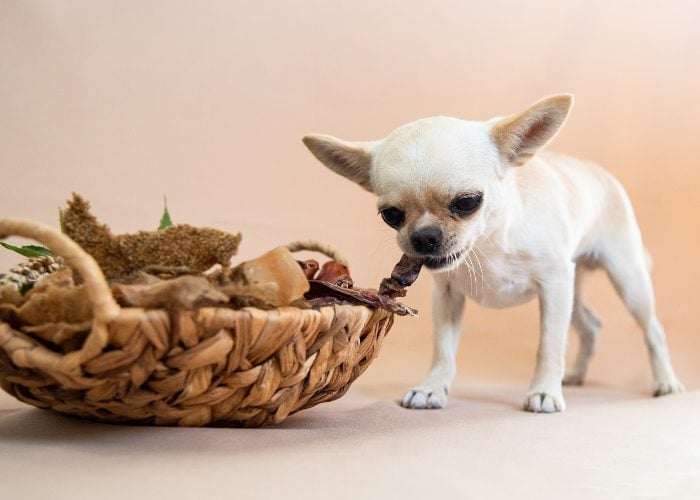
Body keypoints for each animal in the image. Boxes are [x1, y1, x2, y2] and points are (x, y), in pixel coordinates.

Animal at [302, 94, 684, 414]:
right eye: (391, 215)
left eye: (468, 203)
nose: (424, 236)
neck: (487, 246)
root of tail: (601, 173)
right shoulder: (447, 296)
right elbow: (443, 348)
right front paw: (432, 388)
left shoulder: (553, 288)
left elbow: (549, 344)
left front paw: (544, 391)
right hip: (573, 290)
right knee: (591, 325)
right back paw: (575, 373)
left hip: (625, 278)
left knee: (652, 329)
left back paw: (665, 381)